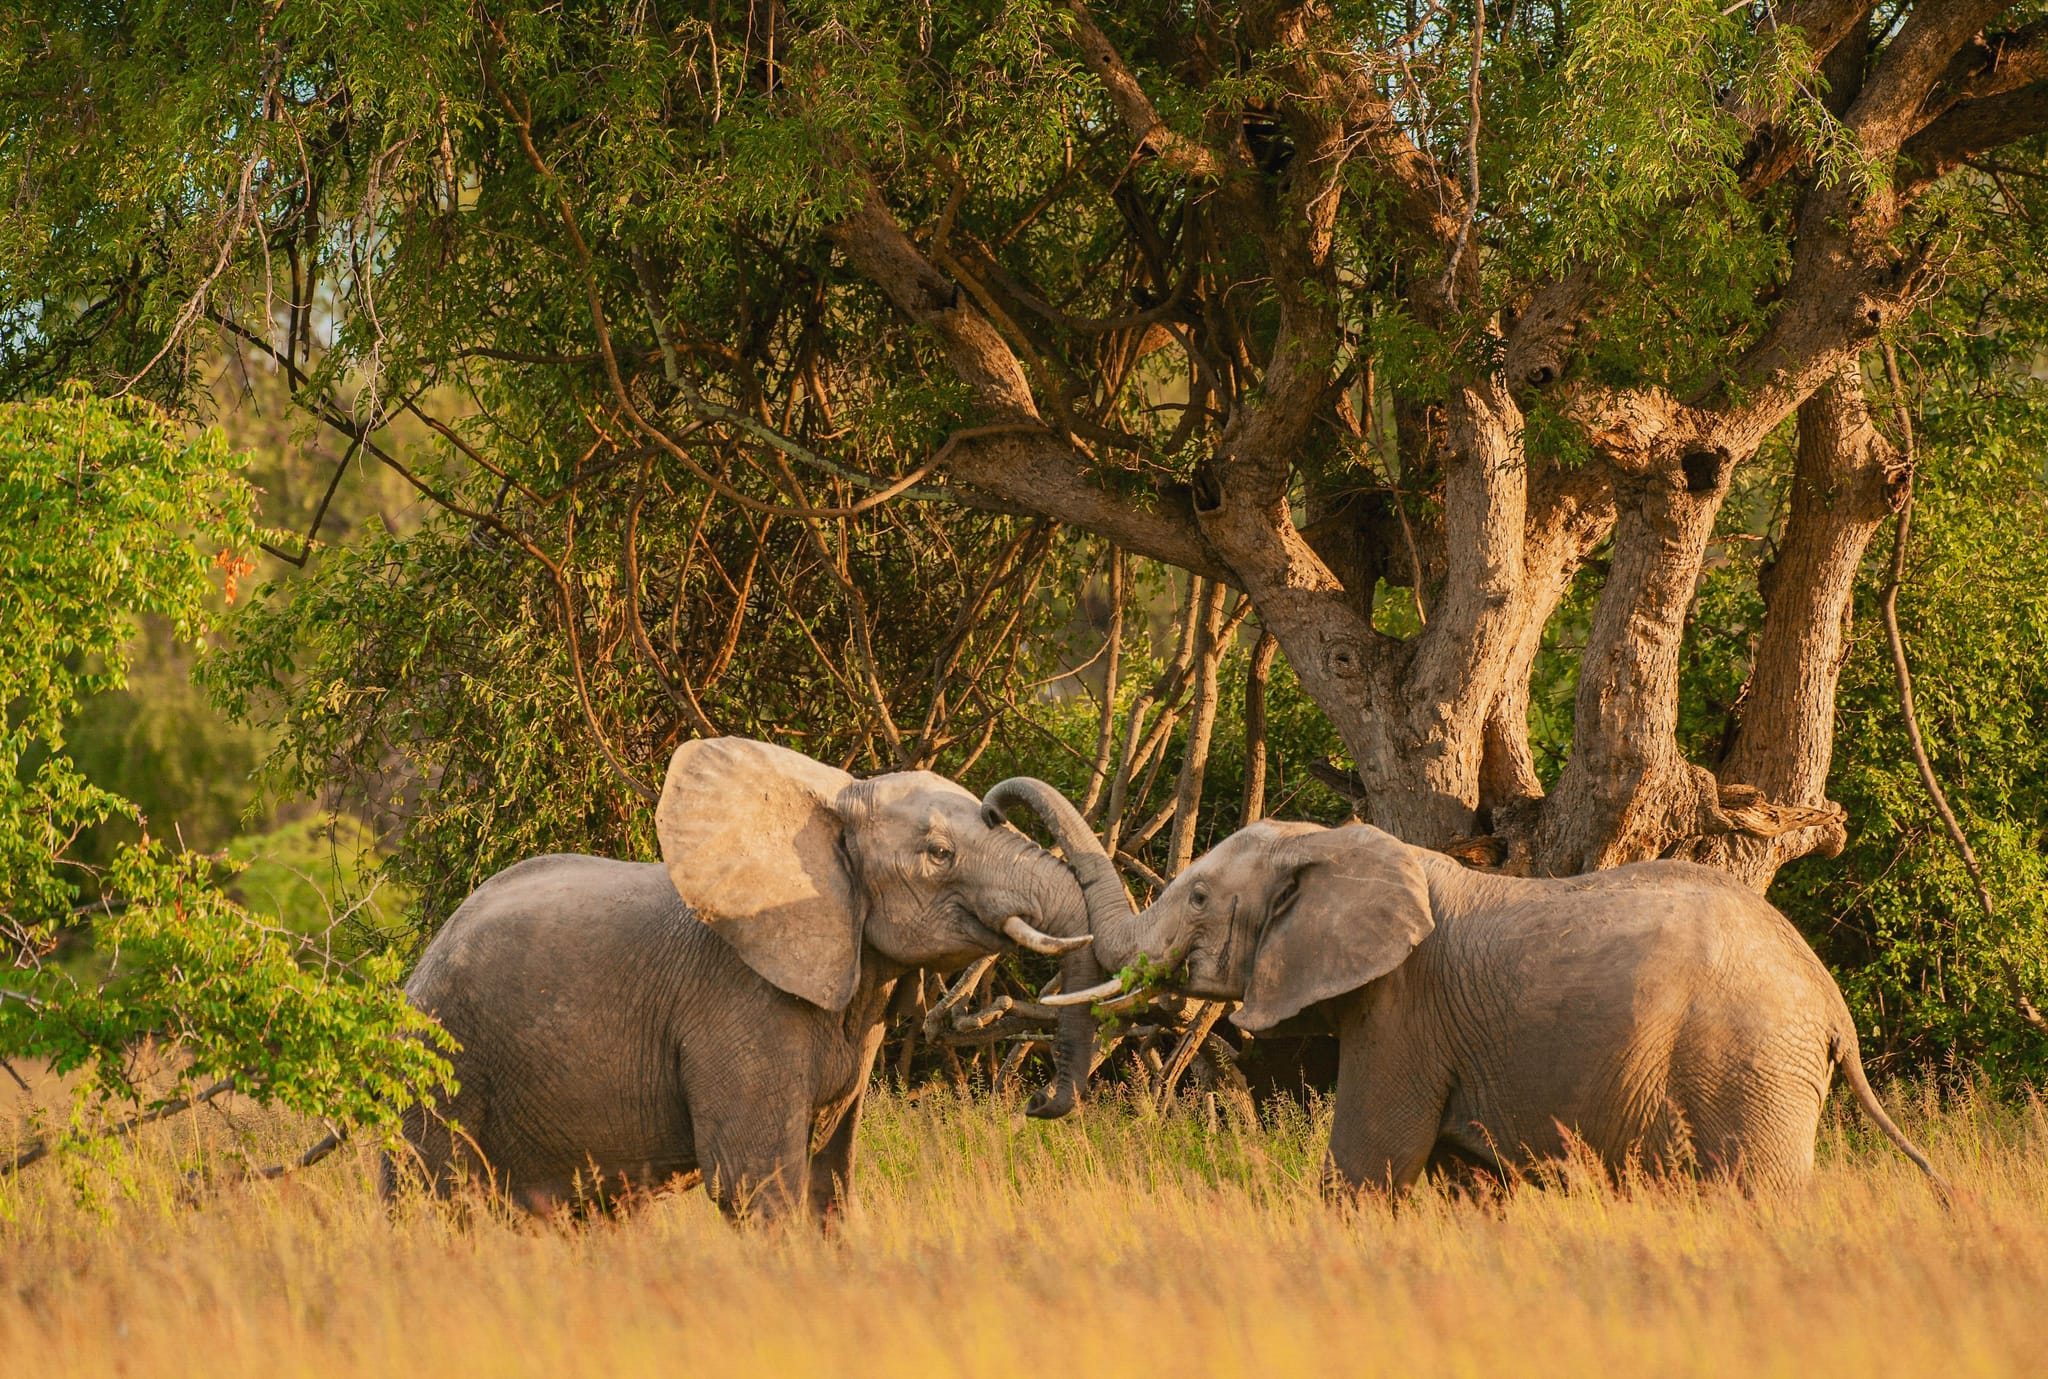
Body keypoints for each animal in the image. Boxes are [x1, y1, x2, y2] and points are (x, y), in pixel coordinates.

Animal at [385, 737, 1120, 1223]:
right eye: (939, 854)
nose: (1036, 1103)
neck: (829, 808)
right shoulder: (737, 1003)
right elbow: (754, 1183)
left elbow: (830, 1181)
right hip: (436, 1059)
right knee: (431, 1201)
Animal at [983, 780, 1943, 1197]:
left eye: (1196, 898)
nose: (1033, 1103)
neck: (1335, 842)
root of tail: (1831, 1003)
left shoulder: (1405, 1009)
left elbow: (1369, 1164)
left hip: (1749, 1064)